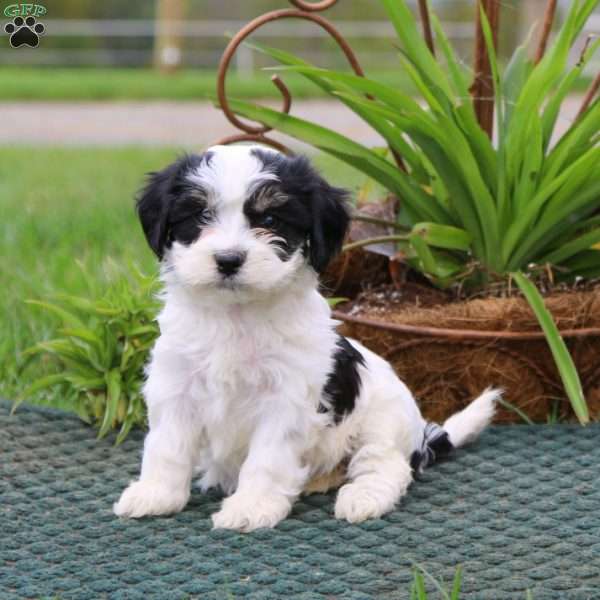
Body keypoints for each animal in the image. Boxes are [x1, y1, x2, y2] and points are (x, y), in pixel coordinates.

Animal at [112, 145, 496, 528]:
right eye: (201, 214)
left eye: (269, 220)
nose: (229, 259)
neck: (236, 315)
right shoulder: (176, 385)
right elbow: (167, 447)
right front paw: (156, 494)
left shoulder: (284, 399)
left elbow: (266, 458)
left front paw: (251, 506)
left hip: (383, 422)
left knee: (385, 465)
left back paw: (363, 497)